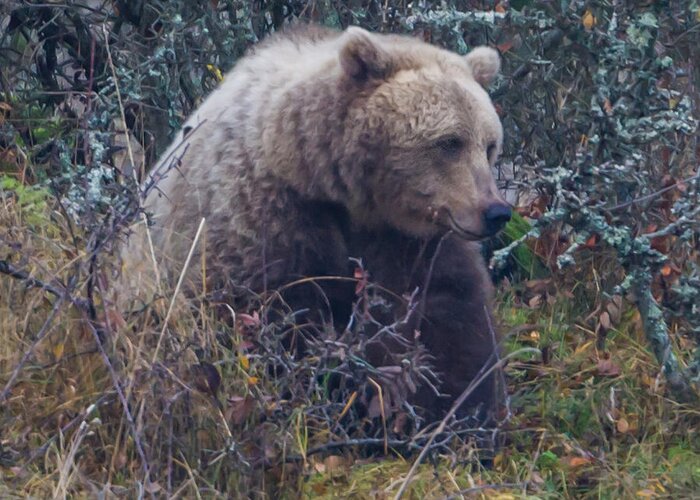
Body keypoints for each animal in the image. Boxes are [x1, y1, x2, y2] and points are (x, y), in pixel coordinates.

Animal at [123, 25, 512, 424]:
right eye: (449, 142)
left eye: (489, 145)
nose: (495, 211)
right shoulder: (265, 220)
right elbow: (279, 318)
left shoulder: (410, 241)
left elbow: (446, 318)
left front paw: (457, 408)